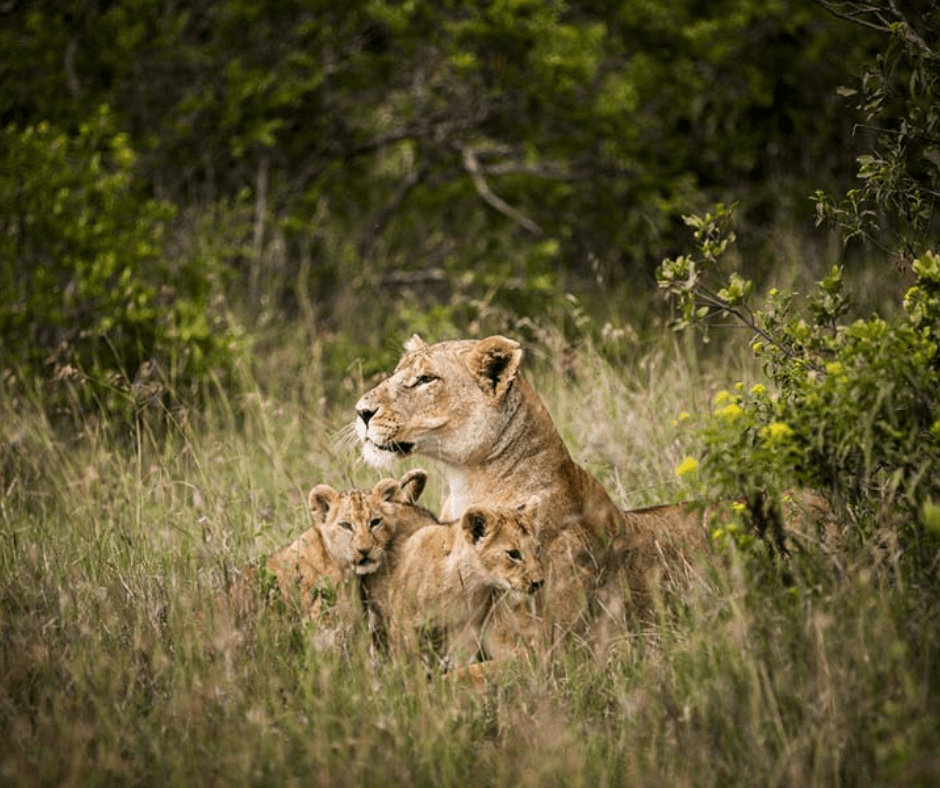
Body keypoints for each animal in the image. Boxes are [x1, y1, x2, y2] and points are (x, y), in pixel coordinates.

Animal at [365, 497, 545, 668]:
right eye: (513, 554)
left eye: (536, 549)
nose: (539, 582)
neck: (466, 583)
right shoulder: (403, 623)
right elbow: (409, 664)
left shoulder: (465, 630)